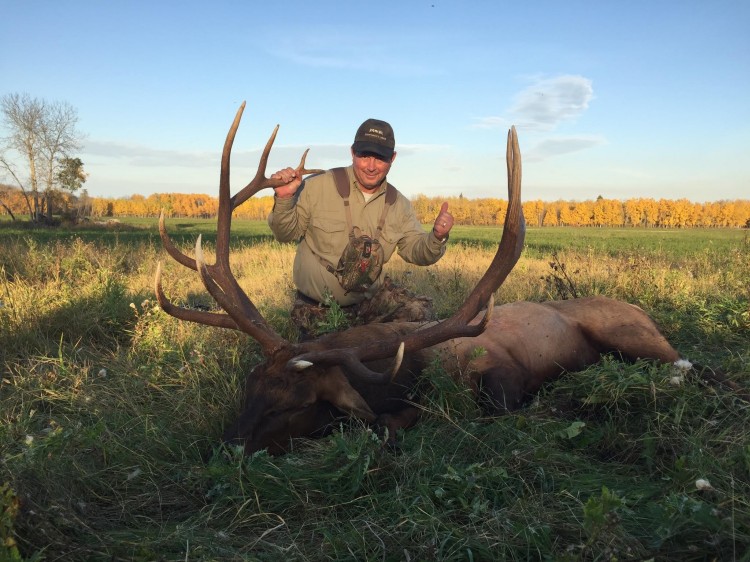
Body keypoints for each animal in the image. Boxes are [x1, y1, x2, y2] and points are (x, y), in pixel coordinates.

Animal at [155, 102, 741, 456]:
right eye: (249, 387)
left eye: (294, 403)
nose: (225, 446)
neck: (400, 377)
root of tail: (642, 310)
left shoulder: (500, 373)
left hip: (631, 332)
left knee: (695, 367)